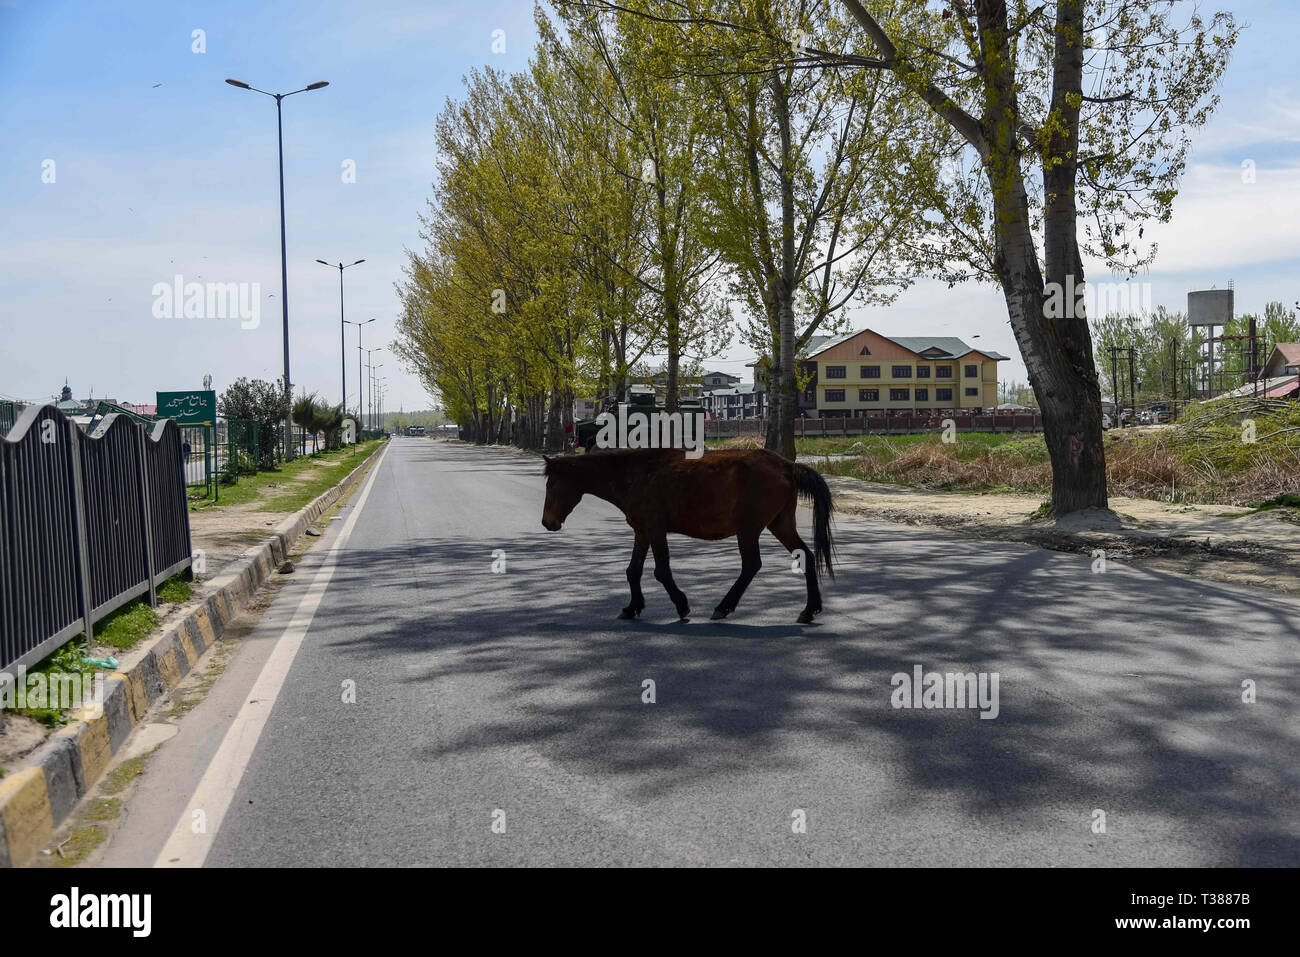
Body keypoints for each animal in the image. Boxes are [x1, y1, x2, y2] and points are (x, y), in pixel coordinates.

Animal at [538, 449, 832, 624]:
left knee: (751, 566)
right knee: (806, 556)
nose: (547, 522)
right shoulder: (642, 531)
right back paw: (809, 610)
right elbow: (633, 571)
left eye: (553, 485)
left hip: (748, 530)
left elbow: (661, 571)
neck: (637, 474)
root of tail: (787, 466)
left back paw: (723, 607)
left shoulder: (655, 530)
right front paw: (632, 607)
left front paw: (682, 606)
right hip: (780, 524)